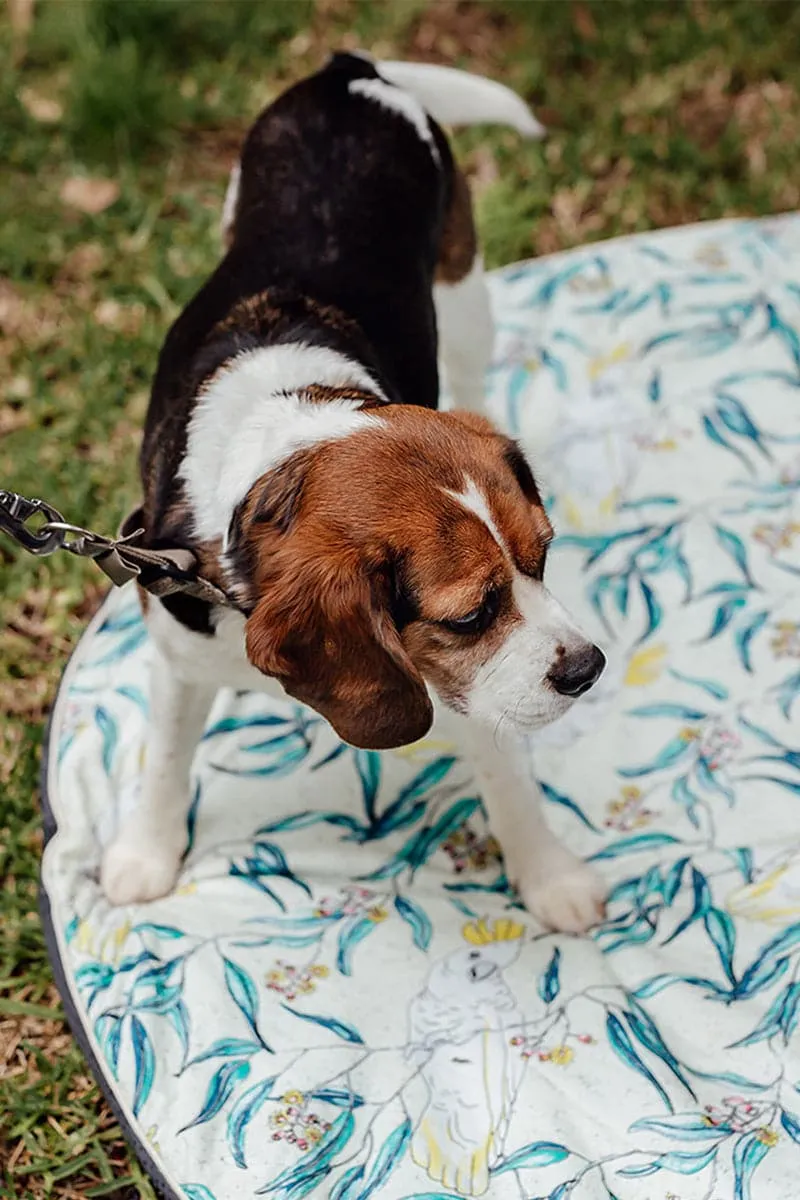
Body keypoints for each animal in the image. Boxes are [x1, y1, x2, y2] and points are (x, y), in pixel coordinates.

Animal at [104, 51, 606, 931]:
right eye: (470, 614)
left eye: (543, 559)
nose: (587, 668)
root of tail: (350, 70)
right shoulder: (176, 650)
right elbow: (164, 760)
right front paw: (145, 854)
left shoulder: (470, 686)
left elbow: (510, 781)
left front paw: (550, 877)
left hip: (464, 298)